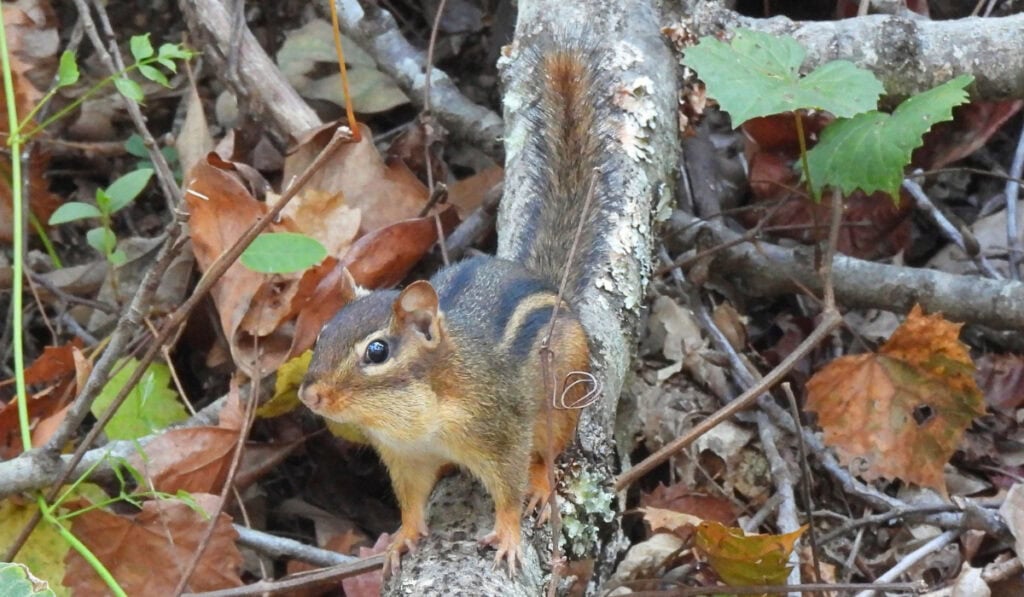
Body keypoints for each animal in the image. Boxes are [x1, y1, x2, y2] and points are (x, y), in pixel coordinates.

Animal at [298, 35, 612, 576]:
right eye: (321, 333)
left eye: (377, 352)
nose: (309, 396)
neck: (415, 415)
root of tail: (551, 285)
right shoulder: (405, 456)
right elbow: (410, 501)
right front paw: (402, 538)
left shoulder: (500, 432)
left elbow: (508, 487)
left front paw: (509, 534)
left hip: (560, 400)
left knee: (549, 451)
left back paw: (541, 482)